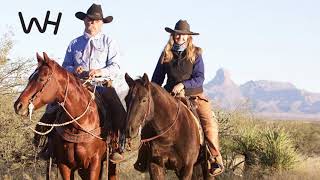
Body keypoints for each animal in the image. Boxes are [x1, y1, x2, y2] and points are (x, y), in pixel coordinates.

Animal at [14, 52, 117, 180]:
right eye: (29, 78)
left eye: (41, 79)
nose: (18, 105)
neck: (80, 123)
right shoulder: (64, 165)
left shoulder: (95, 163)